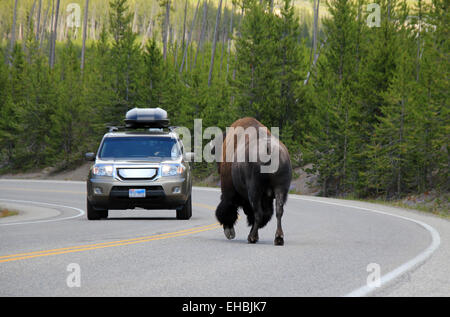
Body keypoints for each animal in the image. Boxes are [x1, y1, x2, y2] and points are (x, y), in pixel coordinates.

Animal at [214, 116, 292, 244]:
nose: (229, 232)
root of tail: (269, 149)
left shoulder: (229, 190)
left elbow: (229, 206)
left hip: (255, 190)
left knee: (258, 213)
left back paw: (252, 237)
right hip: (281, 188)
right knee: (278, 211)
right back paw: (278, 238)